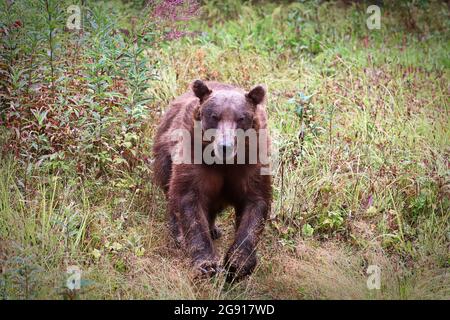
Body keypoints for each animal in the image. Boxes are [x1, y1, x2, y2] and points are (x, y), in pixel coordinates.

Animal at [153, 79, 272, 280]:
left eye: (241, 118)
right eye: (214, 116)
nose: (225, 146)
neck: (224, 163)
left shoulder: (252, 162)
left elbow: (255, 203)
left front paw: (238, 263)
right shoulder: (194, 157)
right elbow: (190, 200)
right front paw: (206, 264)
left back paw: (214, 229)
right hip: (165, 155)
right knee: (171, 193)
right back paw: (180, 235)